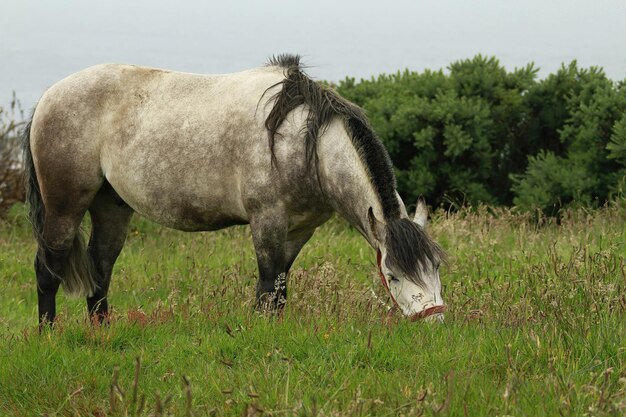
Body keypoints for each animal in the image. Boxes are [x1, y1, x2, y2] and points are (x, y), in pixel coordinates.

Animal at [22, 53, 446, 324]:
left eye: (437, 267)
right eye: (392, 274)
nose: (434, 322)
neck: (306, 144)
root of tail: (47, 97)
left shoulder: (299, 230)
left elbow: (280, 288)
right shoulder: (267, 221)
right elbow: (267, 287)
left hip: (111, 207)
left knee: (100, 268)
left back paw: (102, 333)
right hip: (64, 208)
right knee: (47, 270)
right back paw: (49, 335)